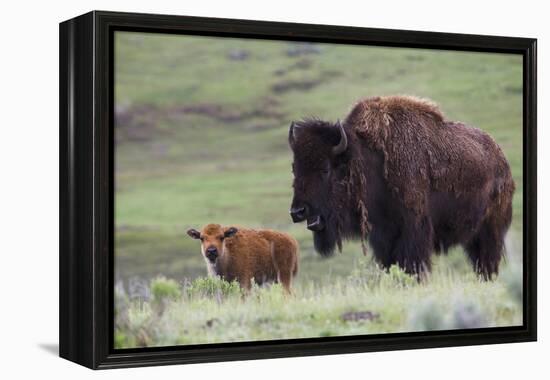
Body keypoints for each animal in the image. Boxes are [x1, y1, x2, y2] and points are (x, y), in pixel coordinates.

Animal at [292, 95, 516, 280]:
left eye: (325, 169)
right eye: (295, 168)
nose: (297, 211)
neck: (365, 160)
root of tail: (502, 161)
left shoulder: (413, 230)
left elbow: (411, 264)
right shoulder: (383, 236)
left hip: (489, 231)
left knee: (487, 261)